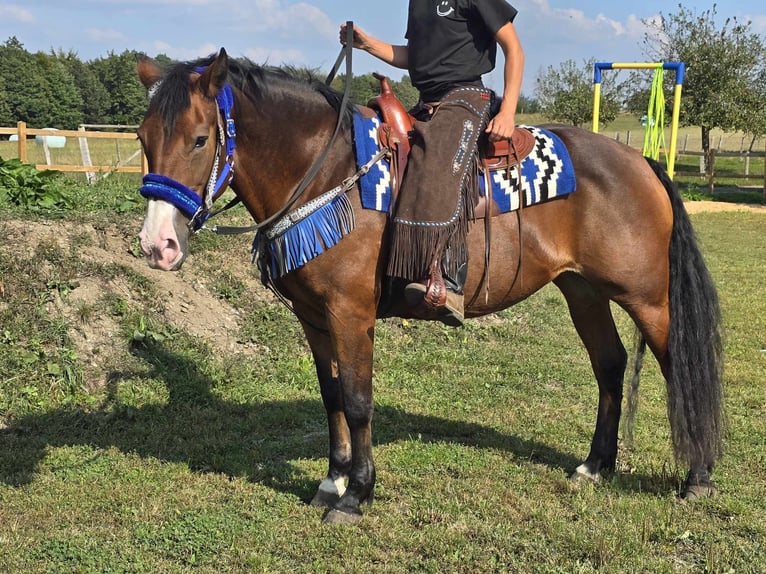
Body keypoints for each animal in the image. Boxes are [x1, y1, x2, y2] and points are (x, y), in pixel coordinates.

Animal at [134, 50, 728, 528]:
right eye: (142, 138)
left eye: (200, 139)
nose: (157, 244)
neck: (328, 174)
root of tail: (641, 162)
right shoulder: (313, 316)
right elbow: (331, 397)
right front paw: (331, 480)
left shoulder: (351, 313)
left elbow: (358, 400)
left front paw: (357, 495)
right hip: (582, 291)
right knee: (609, 365)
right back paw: (595, 465)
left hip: (648, 299)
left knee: (676, 364)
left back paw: (697, 477)